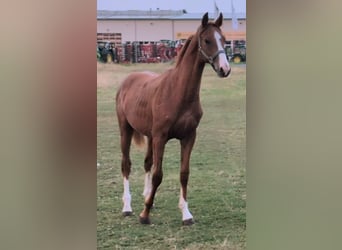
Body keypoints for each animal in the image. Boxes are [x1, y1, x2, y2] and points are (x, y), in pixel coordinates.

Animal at [116, 12, 231, 226]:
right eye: (207, 40)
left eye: (225, 40)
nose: (224, 69)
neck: (177, 92)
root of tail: (128, 80)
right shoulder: (161, 137)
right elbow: (158, 175)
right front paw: (144, 215)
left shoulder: (188, 137)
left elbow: (184, 174)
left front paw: (186, 214)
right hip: (125, 129)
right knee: (126, 164)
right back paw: (127, 207)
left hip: (149, 136)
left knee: (147, 162)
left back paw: (147, 197)